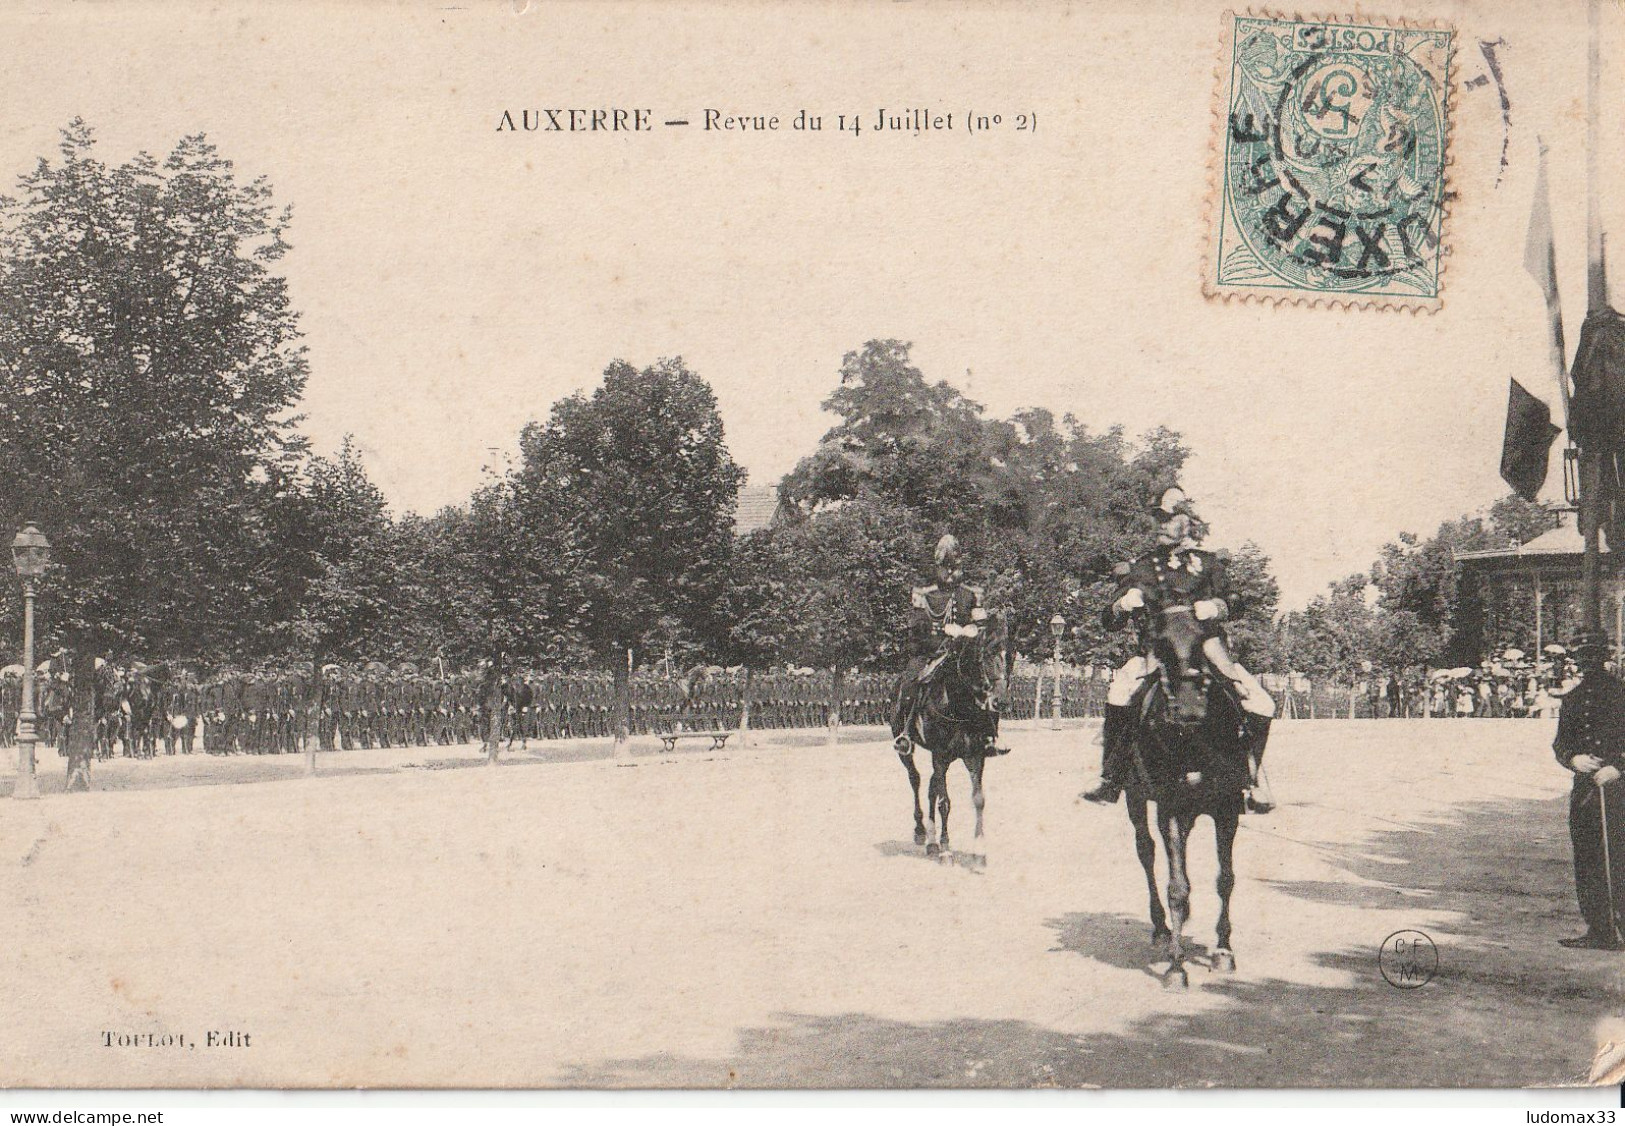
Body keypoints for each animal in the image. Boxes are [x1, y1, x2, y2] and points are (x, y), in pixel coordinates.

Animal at [903, 610, 1001, 857]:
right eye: (981, 657)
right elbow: (944, 802)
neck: (959, 705)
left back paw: (931, 841)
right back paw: (921, 831)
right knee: (915, 779)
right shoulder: (939, 755)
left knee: (931, 787)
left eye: (1006, 655)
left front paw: (979, 850)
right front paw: (946, 848)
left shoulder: (975, 756)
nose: (996, 700)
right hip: (909, 750)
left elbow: (978, 799)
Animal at [1124, 601, 1248, 987]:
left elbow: (1226, 879)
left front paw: (1223, 951)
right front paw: (1176, 967)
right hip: (1135, 798)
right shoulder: (1171, 810)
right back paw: (1162, 930)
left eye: (1203, 644)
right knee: (1146, 852)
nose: (1190, 709)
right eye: (1159, 645)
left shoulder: (1227, 809)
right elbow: (1177, 887)